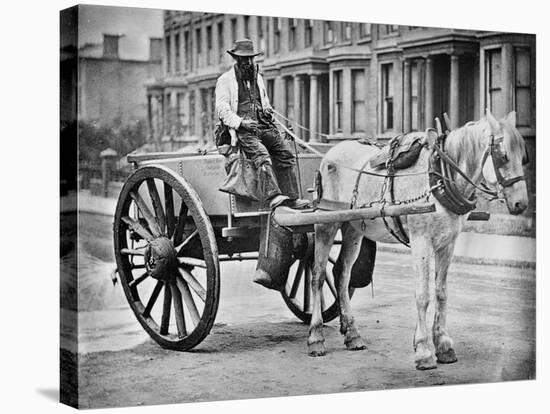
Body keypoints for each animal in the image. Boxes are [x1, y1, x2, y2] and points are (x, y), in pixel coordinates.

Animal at [310, 110, 532, 368]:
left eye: (523, 157)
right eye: (503, 156)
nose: (521, 204)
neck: (440, 178)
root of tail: (329, 154)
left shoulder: (448, 243)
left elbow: (441, 292)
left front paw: (443, 344)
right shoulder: (421, 241)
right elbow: (423, 295)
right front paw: (424, 349)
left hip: (353, 227)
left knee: (342, 275)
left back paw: (352, 334)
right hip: (326, 223)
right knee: (317, 276)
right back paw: (316, 337)